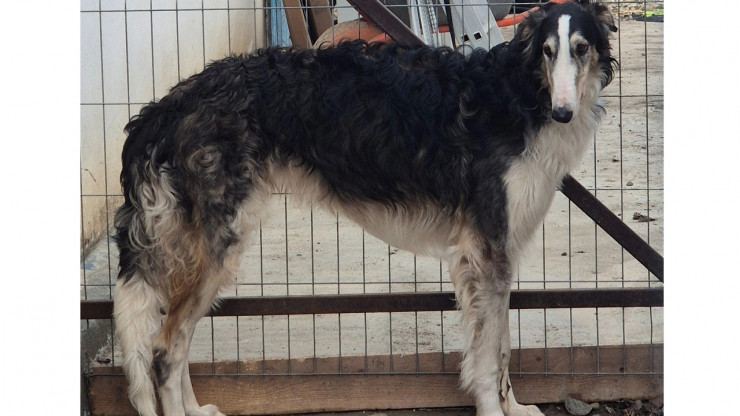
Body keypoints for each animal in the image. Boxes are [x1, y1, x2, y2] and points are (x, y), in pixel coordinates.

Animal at [111, 1, 620, 414]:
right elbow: (490, 352)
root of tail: (169, 105)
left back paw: (197, 410)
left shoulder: (497, 250)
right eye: (547, 51)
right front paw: (496, 410)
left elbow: (501, 347)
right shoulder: (487, 249)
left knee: (173, 347)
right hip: (217, 248)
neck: (518, 94)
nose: (563, 113)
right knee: (165, 350)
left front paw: (514, 406)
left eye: (581, 48)